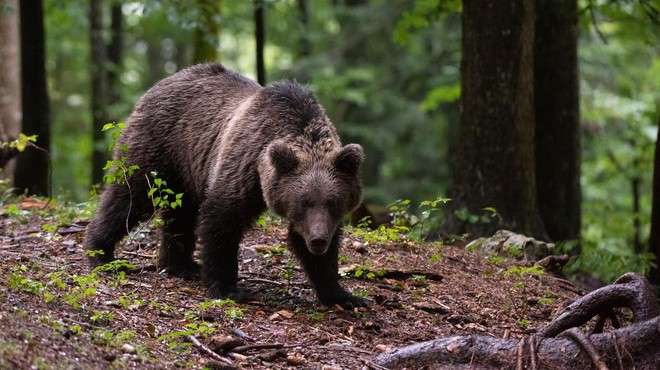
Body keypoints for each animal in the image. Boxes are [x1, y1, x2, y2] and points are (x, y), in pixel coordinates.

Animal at [82, 62, 366, 308]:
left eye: (332, 202)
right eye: (303, 202)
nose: (318, 239)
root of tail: (161, 83)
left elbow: (317, 250)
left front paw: (343, 295)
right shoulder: (245, 164)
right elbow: (222, 222)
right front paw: (226, 287)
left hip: (186, 172)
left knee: (181, 214)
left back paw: (182, 265)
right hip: (158, 147)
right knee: (129, 196)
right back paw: (100, 252)